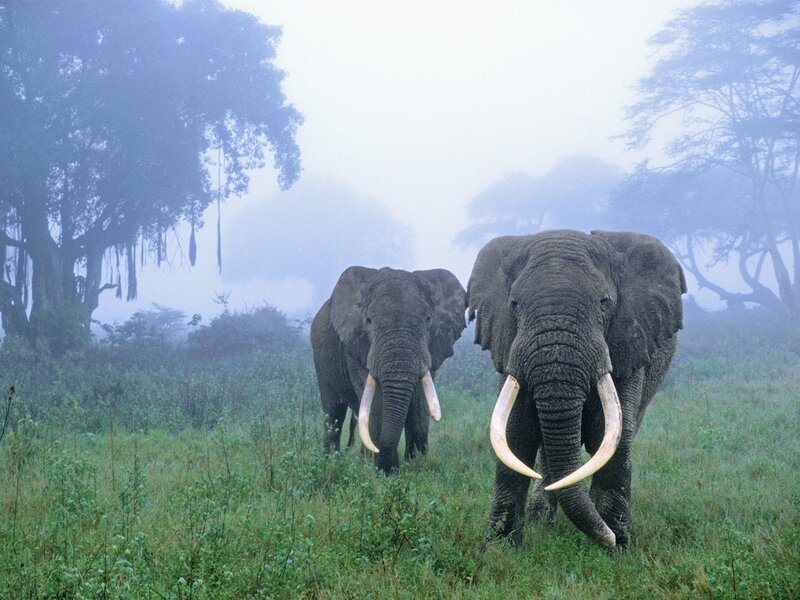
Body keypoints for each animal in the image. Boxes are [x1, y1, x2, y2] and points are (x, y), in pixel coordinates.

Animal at [311, 266, 467, 474]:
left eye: (428, 319)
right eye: (368, 320)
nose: (390, 468)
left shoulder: (432, 349)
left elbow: (419, 406)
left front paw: (416, 467)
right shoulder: (356, 346)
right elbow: (377, 404)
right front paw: (386, 473)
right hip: (321, 360)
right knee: (334, 413)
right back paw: (331, 463)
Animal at [467, 230, 686, 549]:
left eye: (604, 303)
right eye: (515, 304)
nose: (610, 539)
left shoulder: (627, 346)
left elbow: (612, 433)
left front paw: (617, 546)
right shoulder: (508, 348)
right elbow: (514, 433)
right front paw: (499, 547)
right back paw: (541, 520)